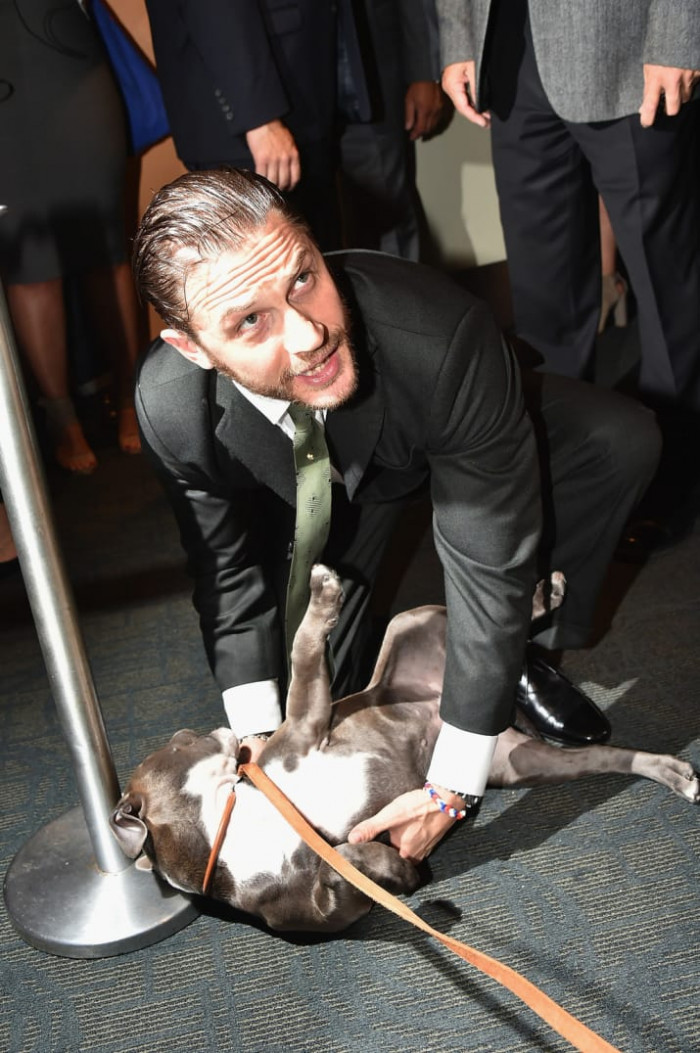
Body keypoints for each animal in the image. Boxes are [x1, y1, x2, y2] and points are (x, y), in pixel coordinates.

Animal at [109, 568, 698, 930]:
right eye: (181, 742)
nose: (210, 728)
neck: (231, 826)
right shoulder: (330, 905)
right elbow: (349, 862)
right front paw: (396, 867)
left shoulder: (306, 723)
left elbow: (302, 654)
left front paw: (322, 595)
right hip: (525, 760)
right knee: (609, 756)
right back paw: (669, 770)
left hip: (409, 619)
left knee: (494, 622)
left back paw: (544, 594)